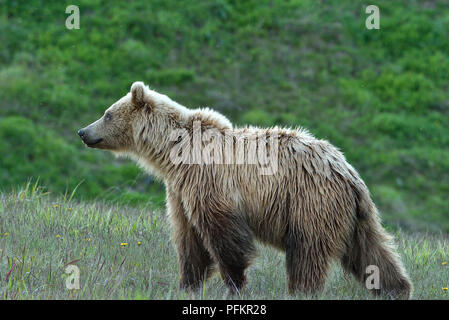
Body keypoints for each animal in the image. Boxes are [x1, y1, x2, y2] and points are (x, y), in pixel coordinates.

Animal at [78, 81, 412, 298]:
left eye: (107, 113)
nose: (83, 131)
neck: (173, 155)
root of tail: (348, 172)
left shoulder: (209, 182)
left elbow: (223, 235)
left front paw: (235, 283)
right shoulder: (180, 191)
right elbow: (188, 239)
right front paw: (187, 283)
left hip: (310, 203)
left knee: (307, 253)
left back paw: (301, 291)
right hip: (352, 215)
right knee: (372, 251)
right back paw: (396, 288)